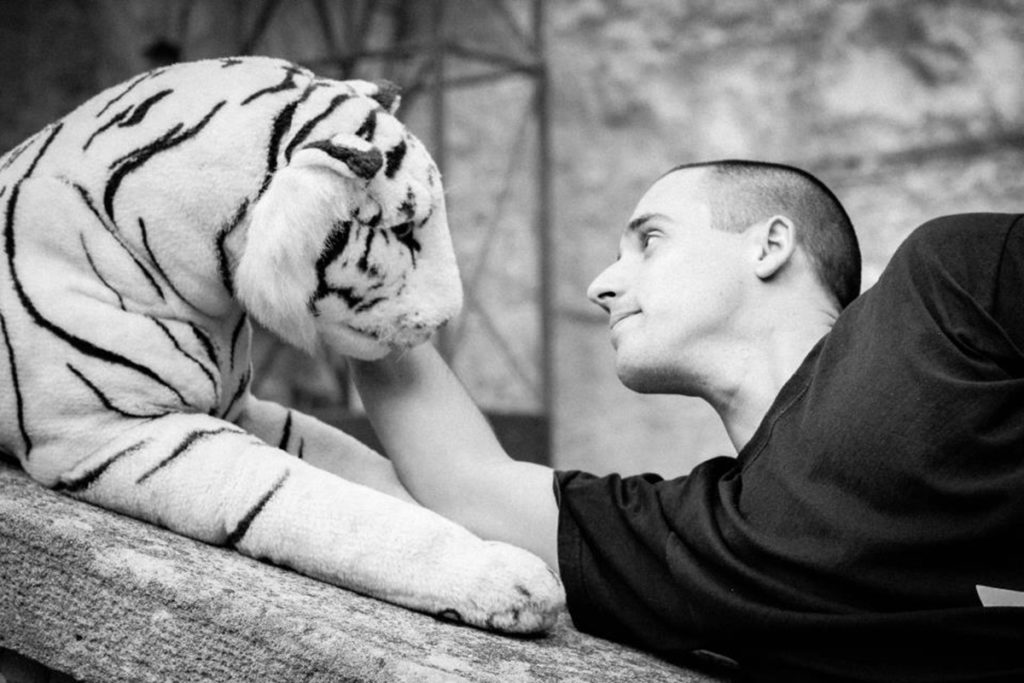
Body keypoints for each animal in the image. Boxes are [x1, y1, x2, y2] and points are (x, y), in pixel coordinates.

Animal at [0, 56, 563, 633]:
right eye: (405, 230)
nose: (450, 317)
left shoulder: (242, 405)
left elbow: (364, 464)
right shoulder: (118, 432)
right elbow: (317, 499)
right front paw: (511, 579)